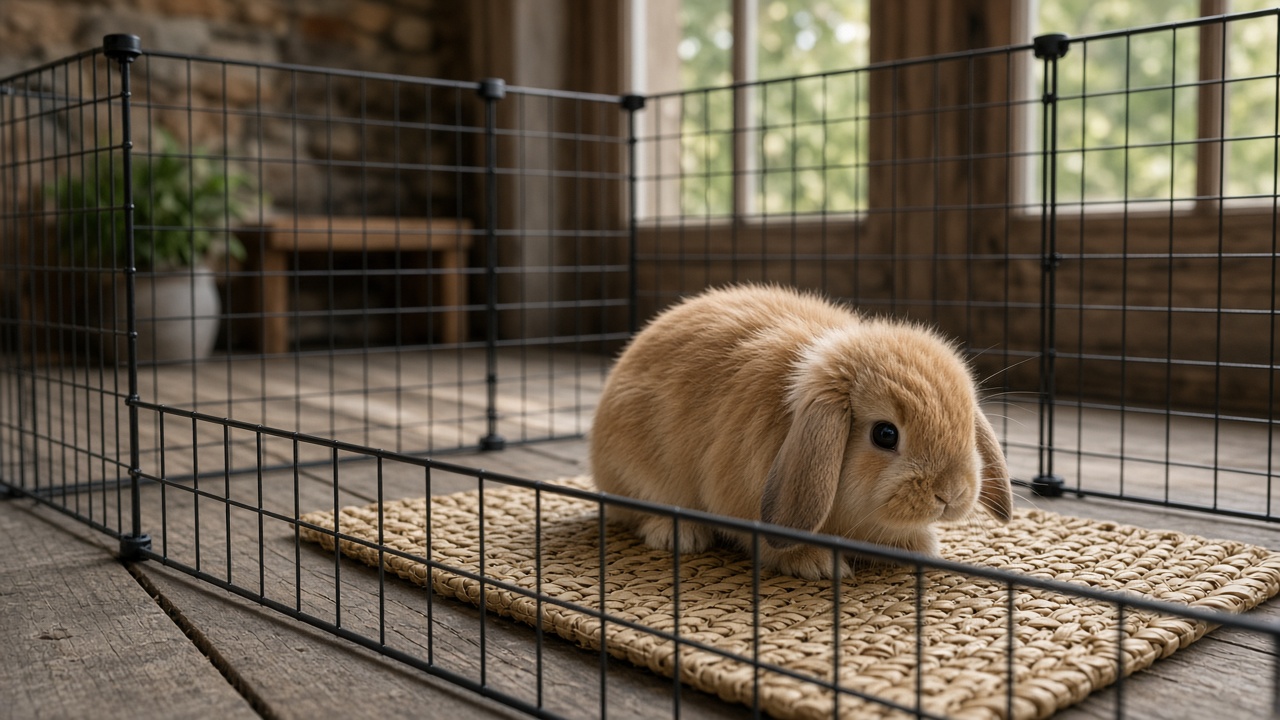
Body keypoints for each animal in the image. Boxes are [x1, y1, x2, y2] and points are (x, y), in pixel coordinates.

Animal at [589, 284, 1012, 580]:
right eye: (885, 435)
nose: (950, 494)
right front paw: (816, 565)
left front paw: (921, 547)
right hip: (637, 477)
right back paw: (679, 534)